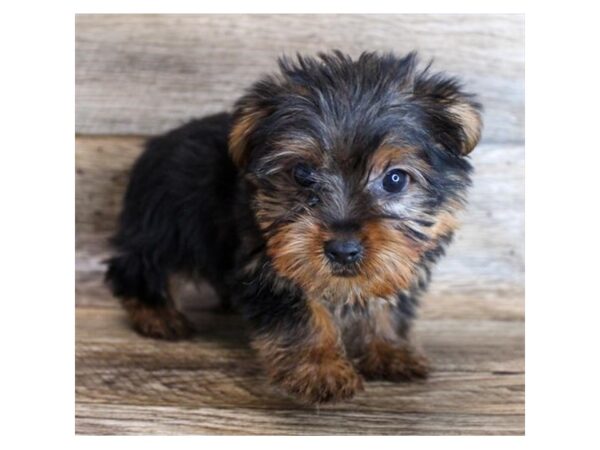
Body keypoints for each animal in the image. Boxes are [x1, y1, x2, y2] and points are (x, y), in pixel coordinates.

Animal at [106, 51, 482, 404]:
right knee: (140, 262)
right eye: (302, 173)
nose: (342, 250)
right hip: (165, 223)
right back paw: (156, 313)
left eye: (395, 179)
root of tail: (156, 143)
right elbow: (300, 313)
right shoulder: (268, 262)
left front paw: (388, 349)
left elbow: (385, 301)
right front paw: (321, 369)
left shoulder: (397, 261)